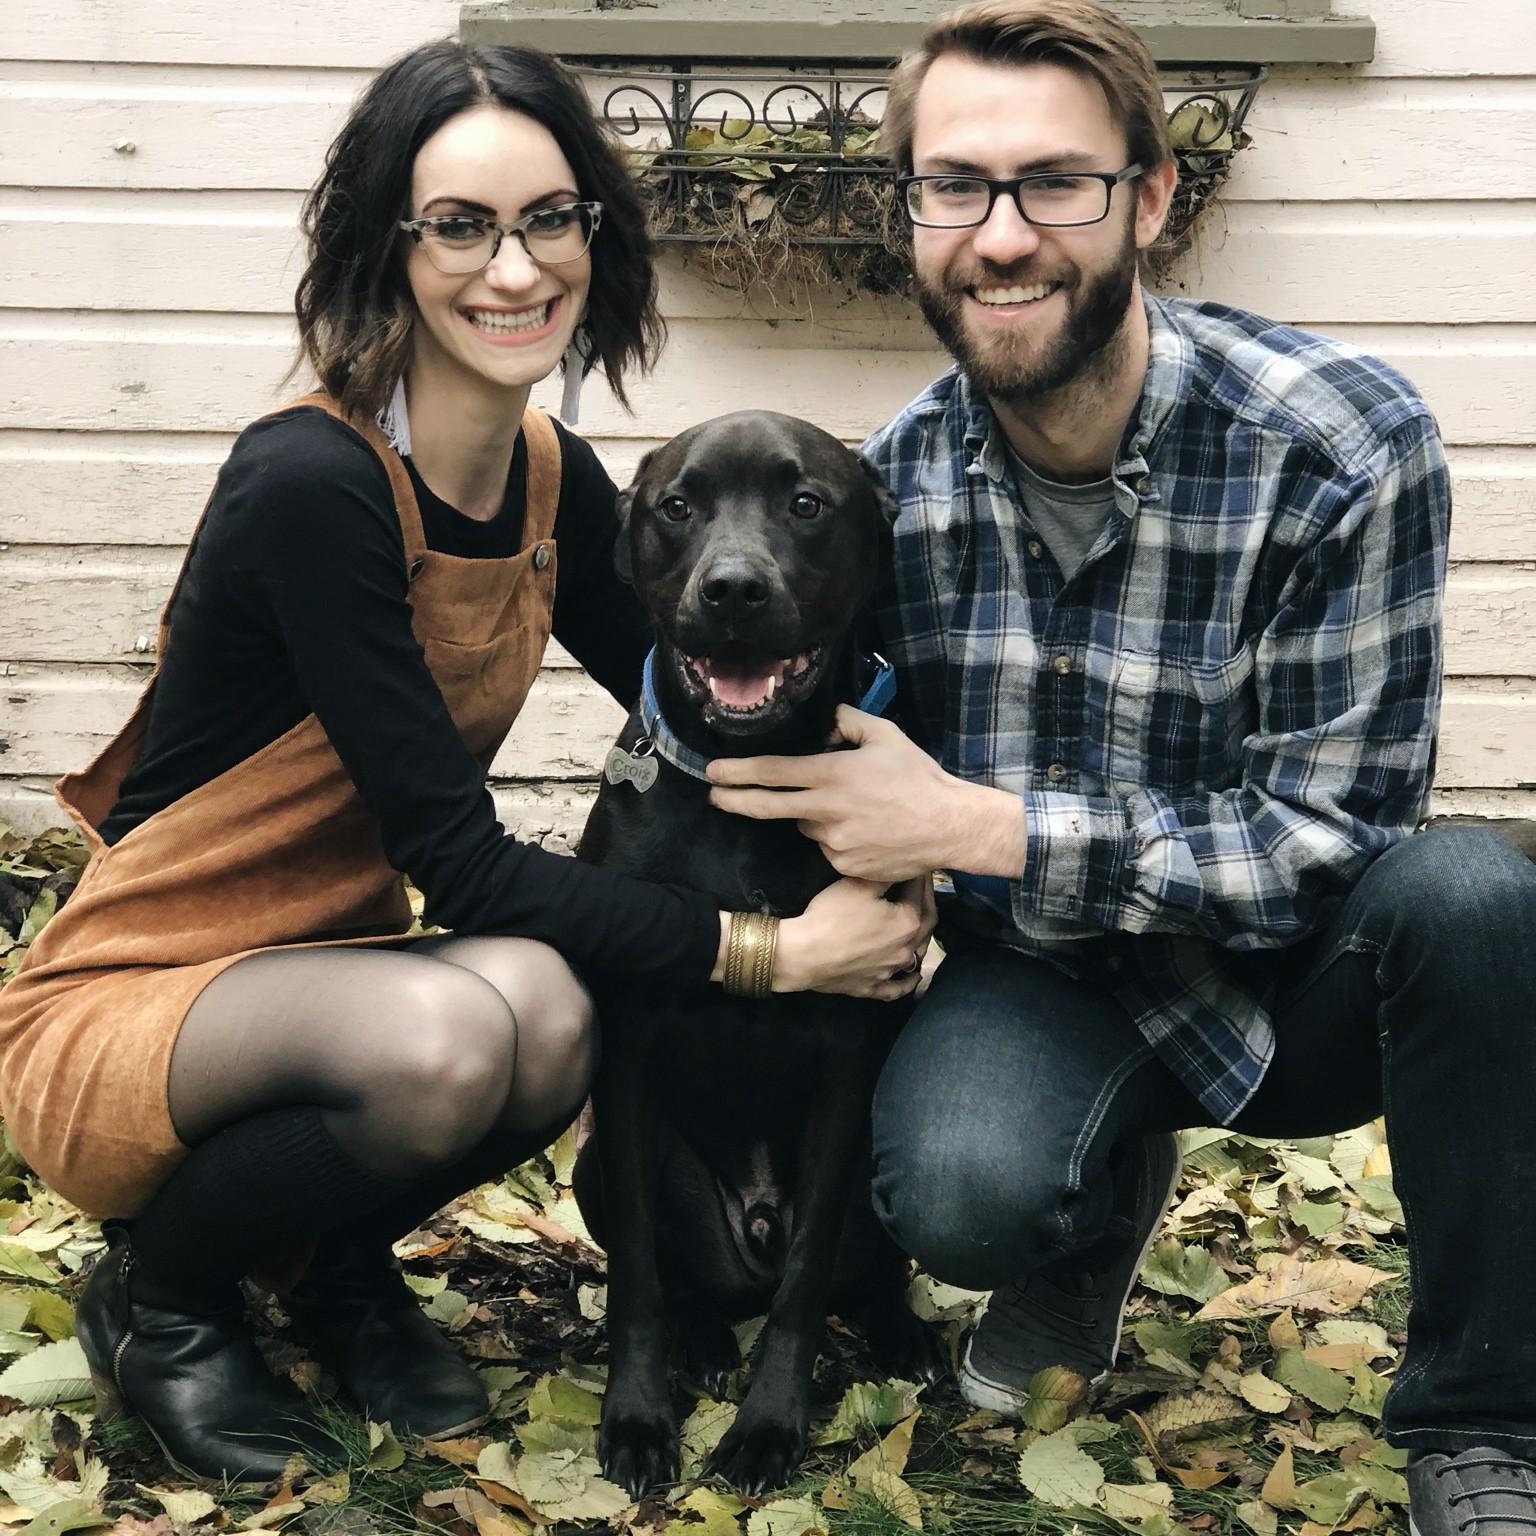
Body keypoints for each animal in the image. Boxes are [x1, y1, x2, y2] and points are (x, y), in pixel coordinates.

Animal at [571, 411, 940, 1499]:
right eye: (676, 506)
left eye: (806, 503)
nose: (733, 589)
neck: (749, 784)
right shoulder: (628, 1051)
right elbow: (639, 1273)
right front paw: (640, 1417)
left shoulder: (850, 1058)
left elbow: (808, 1279)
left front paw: (770, 1425)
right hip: (600, 1165)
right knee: (685, 1278)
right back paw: (700, 1341)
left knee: (861, 1271)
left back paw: (901, 1335)